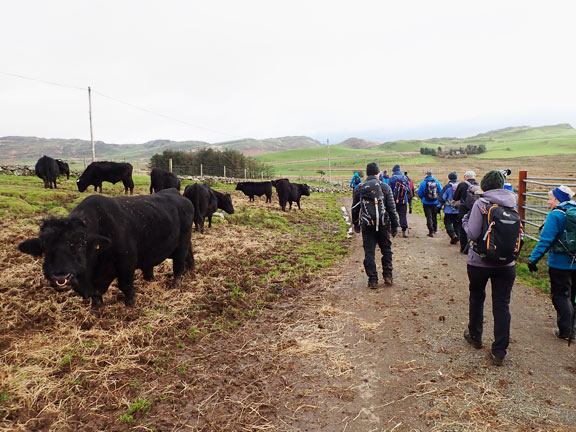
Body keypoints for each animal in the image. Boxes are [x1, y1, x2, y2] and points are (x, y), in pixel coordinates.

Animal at [16, 190, 195, 310]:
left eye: (80, 244)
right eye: (45, 247)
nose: (60, 276)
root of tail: (178, 195)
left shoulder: (126, 263)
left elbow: (125, 285)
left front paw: (130, 304)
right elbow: (97, 295)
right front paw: (96, 307)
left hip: (182, 243)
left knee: (179, 263)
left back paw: (175, 283)